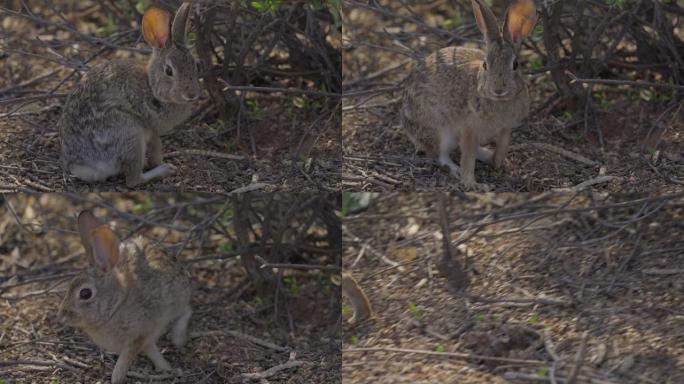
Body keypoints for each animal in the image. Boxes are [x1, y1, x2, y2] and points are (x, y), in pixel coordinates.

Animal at [58, 2, 200, 189]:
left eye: (195, 65)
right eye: (169, 71)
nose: (191, 94)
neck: (151, 86)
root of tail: (83, 167)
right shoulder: (151, 128)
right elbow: (156, 147)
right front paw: (159, 162)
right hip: (131, 134)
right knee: (133, 180)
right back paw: (164, 170)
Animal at [58, 210, 192, 384]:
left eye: (85, 293)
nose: (61, 317)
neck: (116, 305)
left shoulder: (139, 334)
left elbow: (124, 362)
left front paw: (116, 378)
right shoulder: (145, 338)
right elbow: (150, 349)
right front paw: (165, 368)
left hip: (178, 297)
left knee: (187, 310)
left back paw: (178, 339)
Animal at [400, 0, 540, 191]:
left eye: (516, 64)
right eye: (485, 65)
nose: (498, 89)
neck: (499, 100)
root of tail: (407, 125)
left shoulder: (506, 128)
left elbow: (502, 147)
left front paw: (498, 163)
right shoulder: (469, 127)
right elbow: (467, 157)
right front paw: (471, 184)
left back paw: (488, 155)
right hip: (439, 131)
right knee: (440, 154)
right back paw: (455, 169)